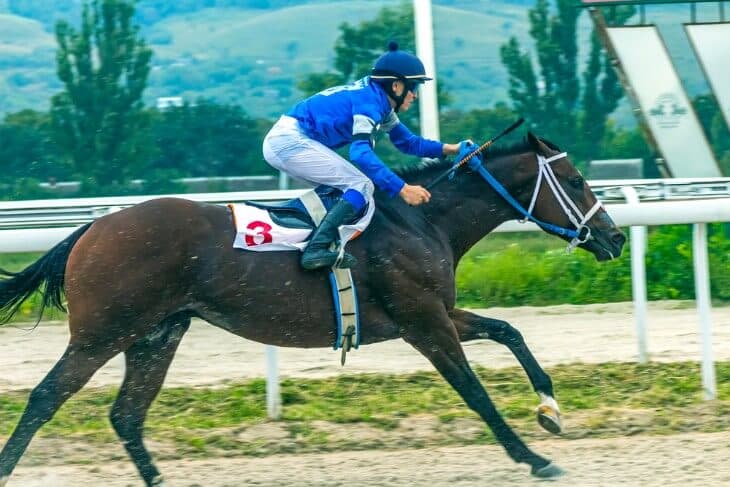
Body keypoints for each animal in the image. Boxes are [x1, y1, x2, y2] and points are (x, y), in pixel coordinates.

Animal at [0, 132, 625, 485]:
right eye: (575, 180)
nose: (615, 238)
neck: (419, 220)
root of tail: (91, 229)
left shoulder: (436, 314)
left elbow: (508, 331)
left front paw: (550, 410)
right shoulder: (423, 322)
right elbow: (474, 391)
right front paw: (533, 457)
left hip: (157, 335)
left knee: (127, 414)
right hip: (103, 332)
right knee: (46, 397)